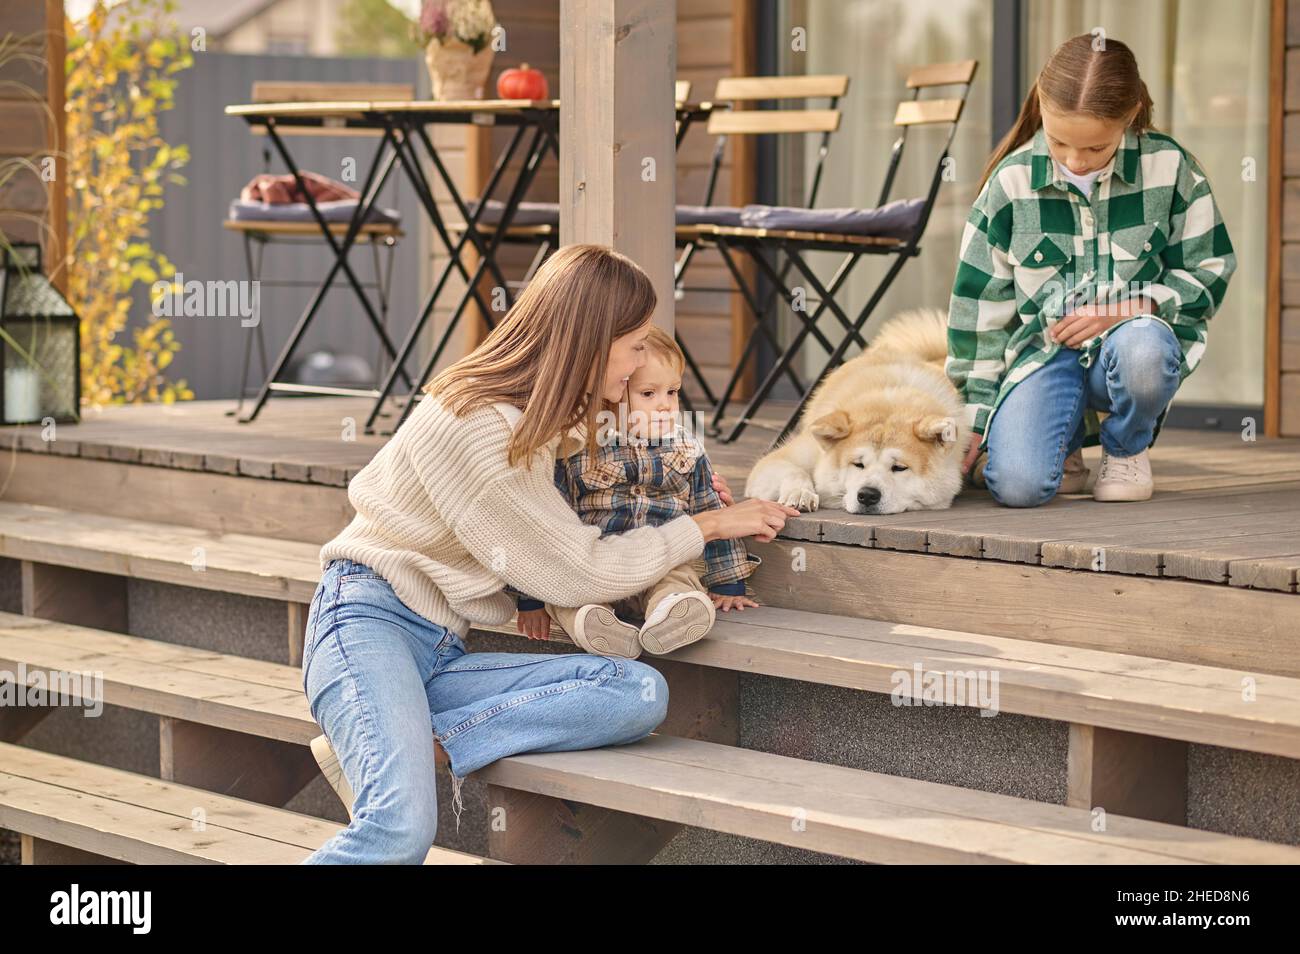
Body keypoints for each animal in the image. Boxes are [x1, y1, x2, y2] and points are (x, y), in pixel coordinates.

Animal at [748, 308, 972, 514]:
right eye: (858, 464)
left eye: (899, 468)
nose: (868, 495)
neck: (890, 399)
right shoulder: (783, 459)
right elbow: (793, 470)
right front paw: (800, 493)